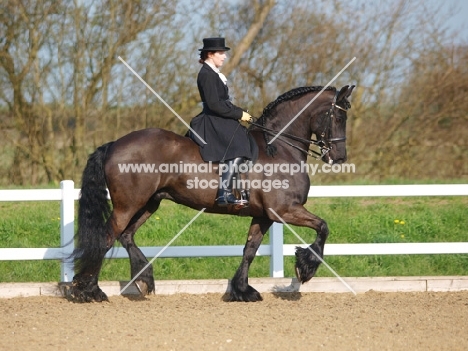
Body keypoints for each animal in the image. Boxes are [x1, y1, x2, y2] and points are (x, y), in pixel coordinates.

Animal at [69, 84, 354, 302]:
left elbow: (250, 249)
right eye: (339, 118)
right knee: (107, 237)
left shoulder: (263, 215)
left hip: (149, 203)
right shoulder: (285, 210)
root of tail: (115, 144)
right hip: (128, 205)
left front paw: (242, 290)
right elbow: (323, 227)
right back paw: (89, 290)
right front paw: (305, 268)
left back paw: (143, 280)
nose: (339, 158)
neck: (280, 147)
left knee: (126, 235)